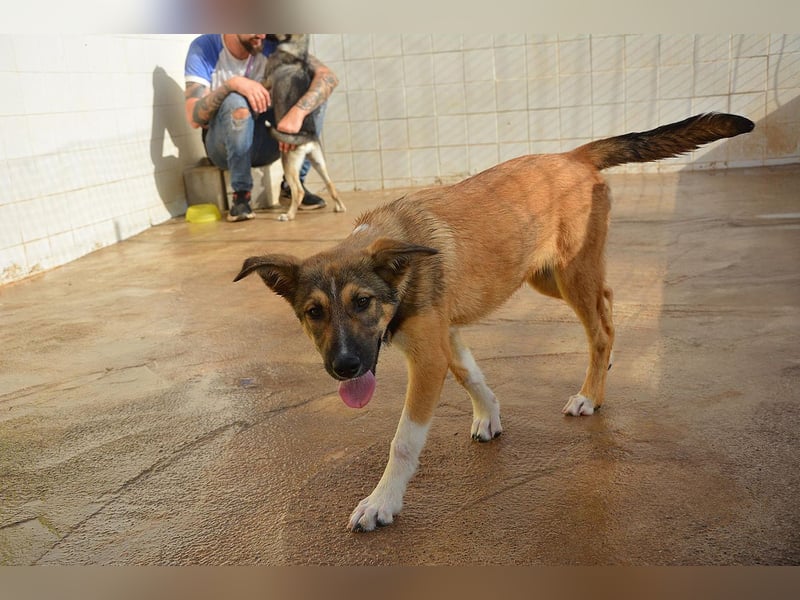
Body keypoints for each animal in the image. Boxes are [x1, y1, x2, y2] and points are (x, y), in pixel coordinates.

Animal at [234, 113, 754, 531]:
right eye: (313, 313)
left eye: (362, 302)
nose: (344, 368)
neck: (401, 265)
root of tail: (571, 156)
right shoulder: (443, 335)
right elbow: (472, 374)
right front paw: (489, 415)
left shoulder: (427, 357)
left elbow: (404, 440)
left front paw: (382, 502)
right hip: (545, 274)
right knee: (606, 301)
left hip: (569, 272)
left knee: (600, 328)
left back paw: (590, 394)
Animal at [262, 34, 346, 221]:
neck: (298, 50)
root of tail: (307, 135)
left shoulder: (266, 81)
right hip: (318, 161)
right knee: (331, 185)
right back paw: (340, 207)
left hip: (288, 161)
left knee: (298, 191)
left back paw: (288, 215)